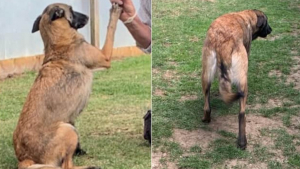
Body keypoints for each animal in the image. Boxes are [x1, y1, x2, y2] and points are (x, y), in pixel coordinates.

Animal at [12, 2, 122, 169]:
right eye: (71, 9)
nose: (88, 16)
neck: (57, 41)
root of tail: (25, 158)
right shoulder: (105, 57)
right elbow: (111, 28)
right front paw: (115, 12)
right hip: (68, 129)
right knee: (67, 166)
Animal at [200, 9, 274, 149]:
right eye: (266, 22)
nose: (271, 30)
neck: (247, 16)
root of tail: (223, 41)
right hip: (243, 81)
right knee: (241, 114)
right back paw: (242, 142)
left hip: (205, 74)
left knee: (207, 104)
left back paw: (206, 119)